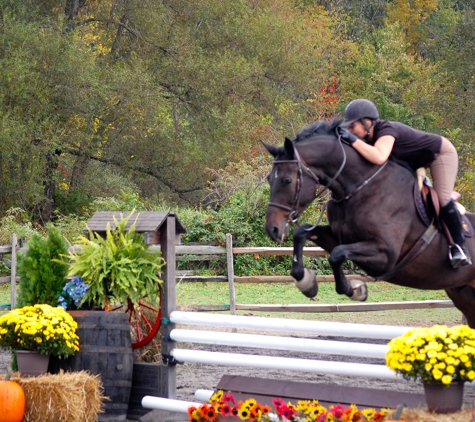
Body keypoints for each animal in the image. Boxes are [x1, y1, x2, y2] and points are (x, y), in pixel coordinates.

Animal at [264, 120, 475, 328]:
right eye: (269, 179)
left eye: (287, 180)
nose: (272, 229)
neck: (359, 188)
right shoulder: (339, 237)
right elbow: (302, 233)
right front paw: (307, 283)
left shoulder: (386, 256)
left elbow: (337, 254)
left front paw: (354, 290)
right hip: (463, 294)